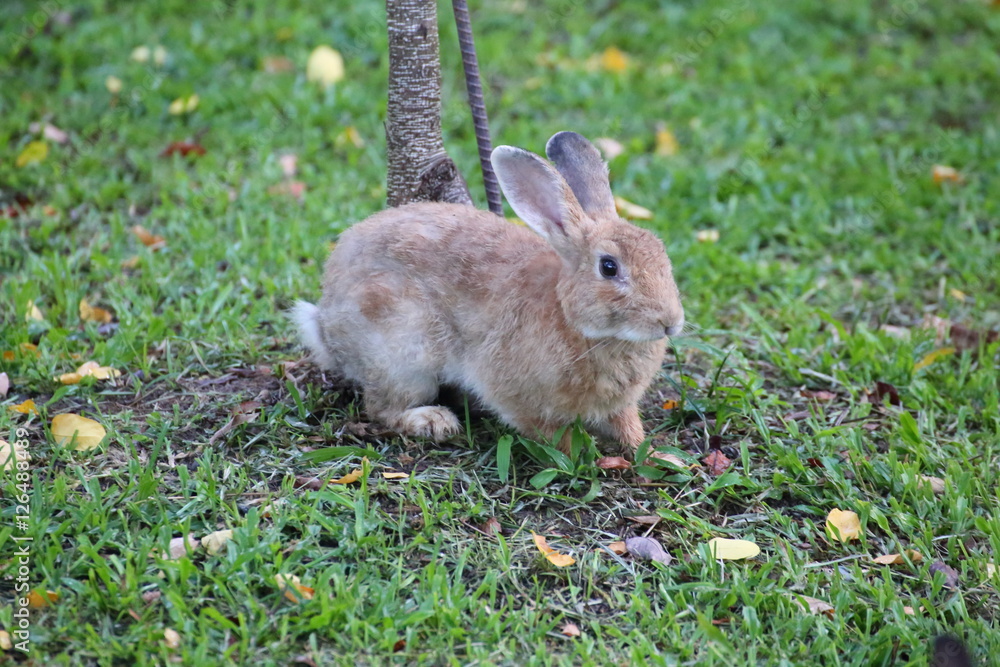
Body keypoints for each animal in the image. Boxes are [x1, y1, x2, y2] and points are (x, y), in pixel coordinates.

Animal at [293, 131, 684, 457]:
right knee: (382, 408)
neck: (573, 320)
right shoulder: (517, 397)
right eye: (609, 267)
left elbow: (628, 427)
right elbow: (553, 435)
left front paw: (658, 456)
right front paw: (587, 459)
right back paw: (433, 421)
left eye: (663, 255)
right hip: (402, 348)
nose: (671, 323)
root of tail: (325, 324)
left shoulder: (619, 407)